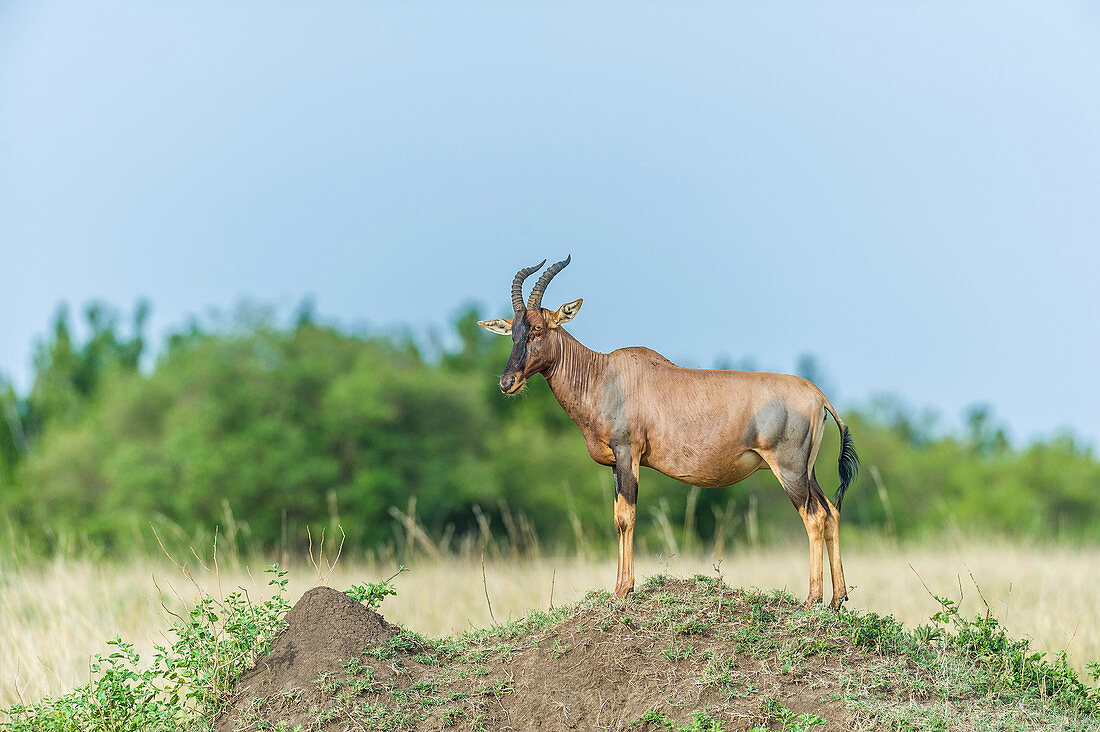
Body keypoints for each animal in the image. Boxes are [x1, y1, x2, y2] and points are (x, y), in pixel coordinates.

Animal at [481, 256, 858, 603]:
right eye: (513, 332)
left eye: (538, 329)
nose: (507, 382)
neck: (604, 374)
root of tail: (818, 395)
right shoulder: (615, 464)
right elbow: (617, 516)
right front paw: (619, 589)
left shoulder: (628, 453)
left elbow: (626, 517)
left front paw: (623, 591)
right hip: (807, 471)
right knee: (831, 511)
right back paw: (837, 600)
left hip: (788, 469)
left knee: (813, 517)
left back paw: (812, 600)